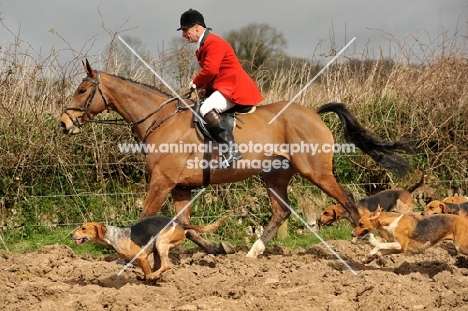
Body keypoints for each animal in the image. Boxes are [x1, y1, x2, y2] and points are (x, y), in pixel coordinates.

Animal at [60, 60, 412, 258]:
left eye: (81, 90)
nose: (64, 124)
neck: (160, 121)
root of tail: (311, 113)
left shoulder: (162, 182)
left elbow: (148, 218)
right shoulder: (180, 188)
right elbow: (185, 225)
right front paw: (218, 249)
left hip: (315, 171)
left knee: (347, 198)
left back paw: (367, 240)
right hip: (274, 175)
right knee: (281, 212)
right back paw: (253, 253)